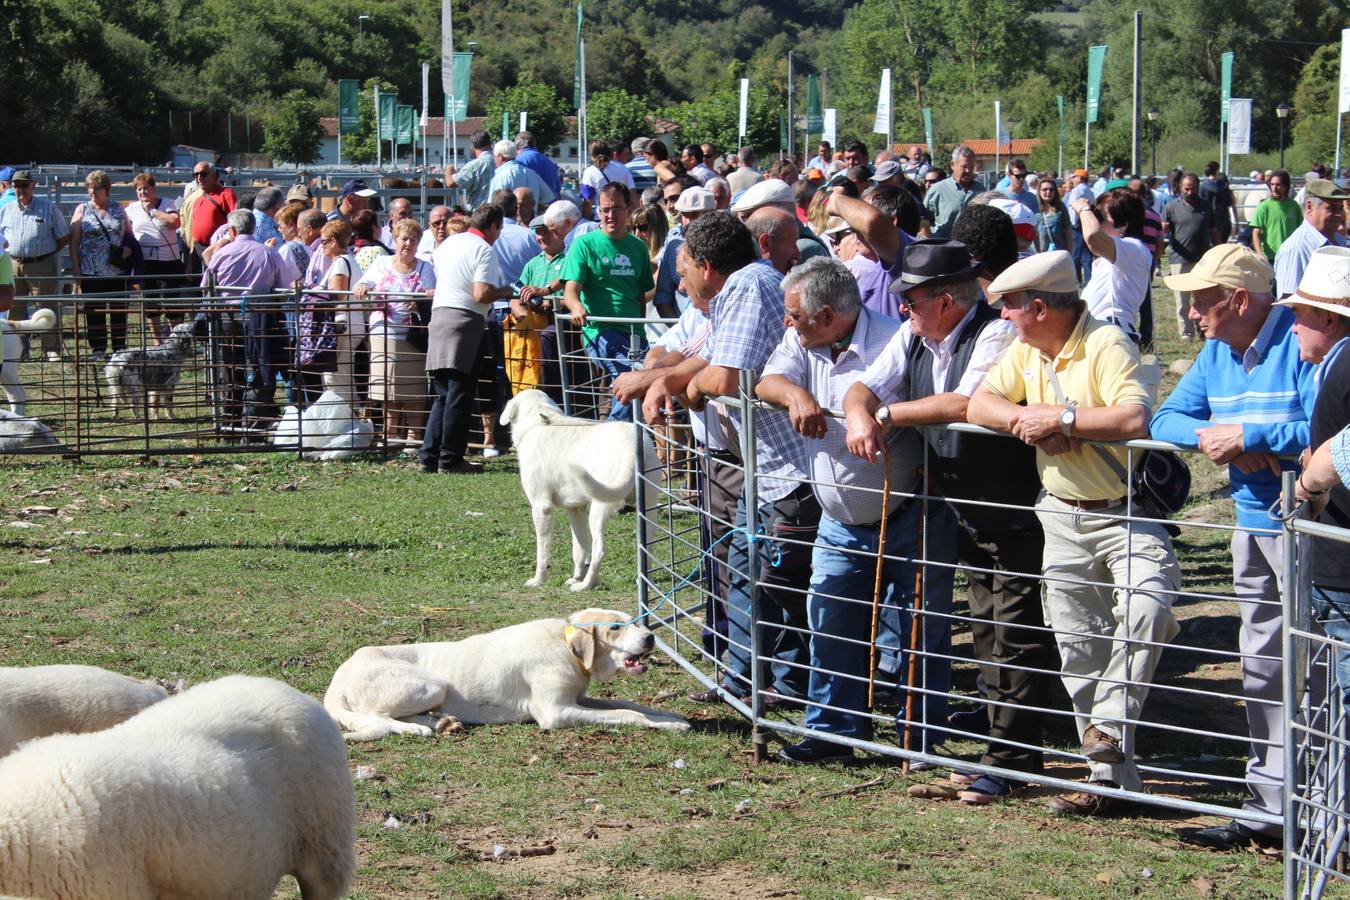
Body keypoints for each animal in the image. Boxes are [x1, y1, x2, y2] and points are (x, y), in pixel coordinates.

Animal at [324, 609, 685, 744]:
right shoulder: (556, 712)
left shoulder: (577, 699)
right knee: (378, 716)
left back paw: (442, 722)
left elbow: (629, 705)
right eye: (615, 628)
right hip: (432, 684)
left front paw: (672, 716)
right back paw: (417, 728)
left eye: (634, 622)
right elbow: (627, 712)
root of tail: (336, 680)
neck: (565, 645)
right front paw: (669, 725)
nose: (651, 638)